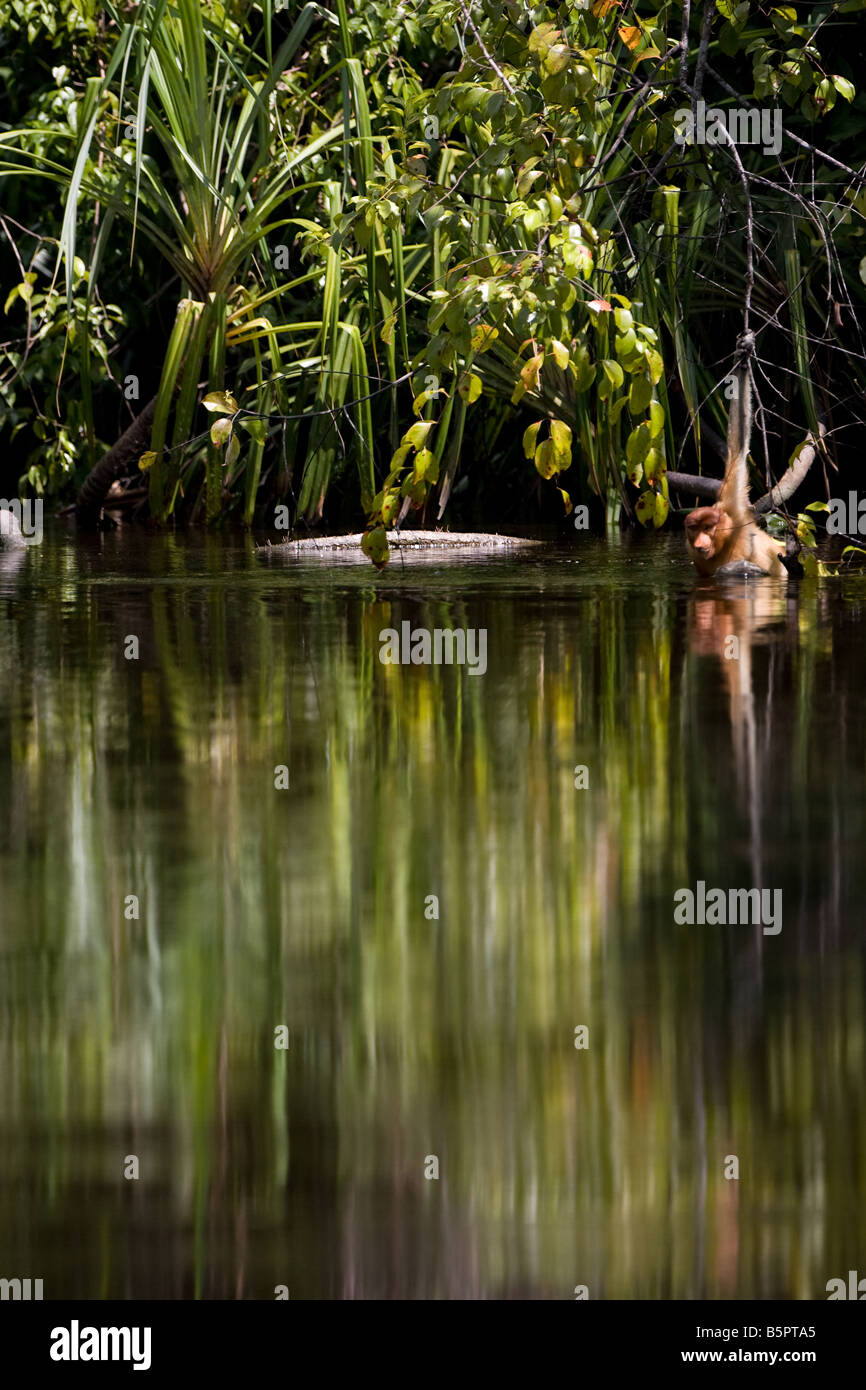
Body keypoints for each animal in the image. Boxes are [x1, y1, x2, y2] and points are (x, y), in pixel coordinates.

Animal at [686, 329, 789, 575]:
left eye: (708, 527)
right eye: (694, 529)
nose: (700, 543)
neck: (723, 545)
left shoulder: (731, 506)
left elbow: (739, 448)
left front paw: (743, 353)